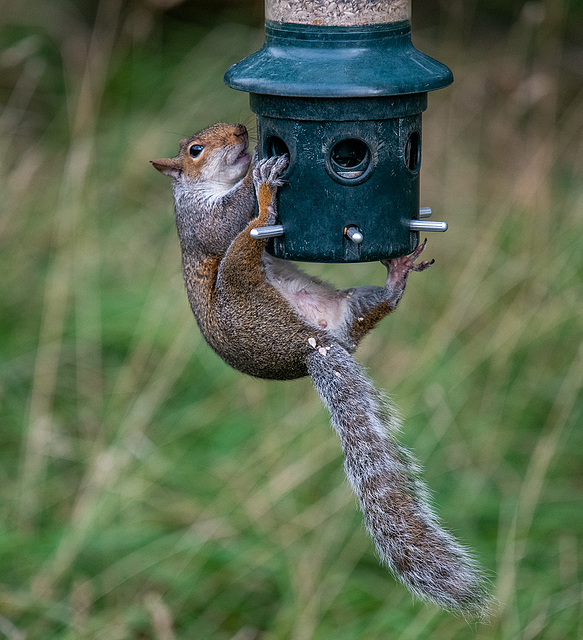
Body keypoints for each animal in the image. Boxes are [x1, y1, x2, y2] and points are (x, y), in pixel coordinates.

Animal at [151, 122, 488, 616]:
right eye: (195, 150)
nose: (242, 129)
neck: (202, 188)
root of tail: (312, 346)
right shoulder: (201, 223)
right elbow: (227, 220)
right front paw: (258, 171)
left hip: (350, 309)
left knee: (379, 303)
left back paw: (397, 274)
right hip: (239, 278)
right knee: (249, 232)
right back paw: (264, 191)